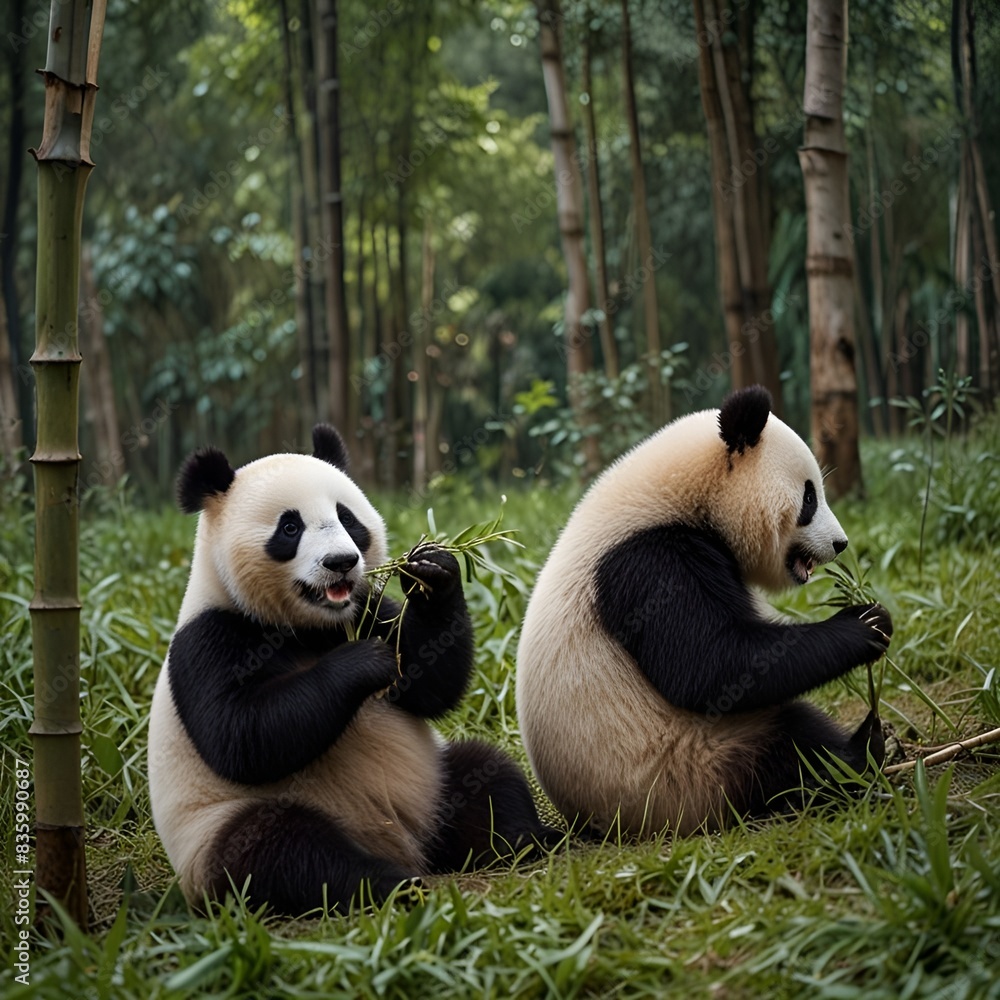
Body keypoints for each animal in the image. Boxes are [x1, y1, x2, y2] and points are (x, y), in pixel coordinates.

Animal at [148, 425, 552, 916]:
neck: (310, 628)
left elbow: (430, 683)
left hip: (434, 783)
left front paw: (434, 569)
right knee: (286, 852)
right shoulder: (210, 639)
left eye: (347, 518)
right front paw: (364, 662)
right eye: (290, 527)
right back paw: (390, 885)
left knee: (490, 776)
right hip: (220, 834)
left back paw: (526, 839)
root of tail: (405, 846)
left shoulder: (367, 608)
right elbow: (242, 736)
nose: (340, 562)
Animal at [515, 385, 893, 837]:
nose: (841, 544)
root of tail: (597, 823)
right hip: (688, 771)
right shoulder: (650, 562)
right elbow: (714, 664)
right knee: (792, 744)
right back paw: (862, 752)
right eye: (808, 497)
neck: (682, 494)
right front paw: (866, 624)